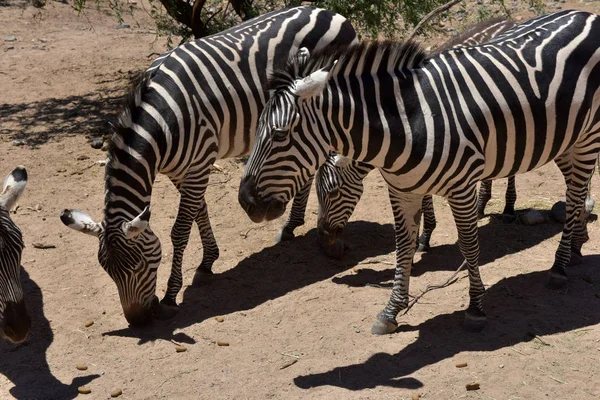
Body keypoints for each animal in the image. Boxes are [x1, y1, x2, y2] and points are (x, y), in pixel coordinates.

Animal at [59, 5, 356, 324]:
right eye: (107, 271)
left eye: (139, 264)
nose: (138, 321)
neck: (162, 120)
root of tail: (328, 11)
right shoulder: (181, 170)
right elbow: (200, 211)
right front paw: (207, 263)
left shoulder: (200, 162)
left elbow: (180, 229)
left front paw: (171, 295)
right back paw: (291, 226)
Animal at [316, 17, 516, 258]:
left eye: (333, 192)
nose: (324, 246)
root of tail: (504, 20)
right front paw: (423, 237)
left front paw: (425, 235)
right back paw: (481, 206)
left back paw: (508, 208)